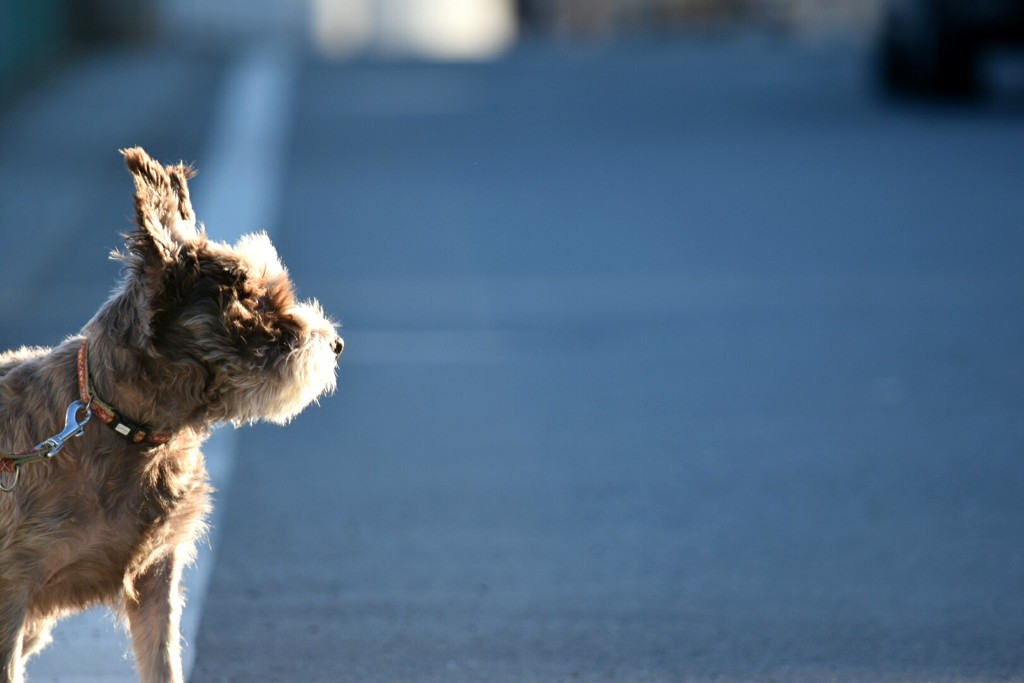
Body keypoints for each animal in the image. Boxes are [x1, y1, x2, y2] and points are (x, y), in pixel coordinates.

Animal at [0, 149, 344, 683]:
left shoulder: (156, 581)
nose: (334, 342)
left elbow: (164, 663)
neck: (119, 424)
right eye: (257, 301)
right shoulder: (12, 593)